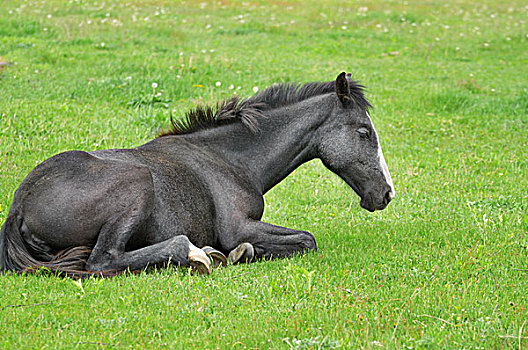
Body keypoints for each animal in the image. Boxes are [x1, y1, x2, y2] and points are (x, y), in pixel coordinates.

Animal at [0, 73, 394, 276]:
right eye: (364, 132)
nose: (386, 193)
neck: (230, 160)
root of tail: (19, 206)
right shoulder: (238, 226)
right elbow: (306, 240)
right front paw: (239, 253)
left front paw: (240, 253)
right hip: (137, 184)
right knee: (103, 261)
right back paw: (196, 254)